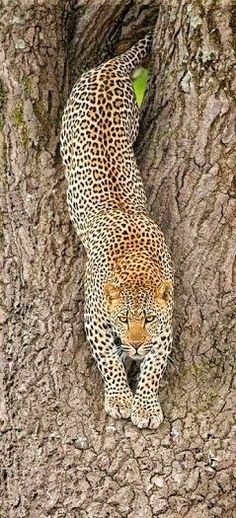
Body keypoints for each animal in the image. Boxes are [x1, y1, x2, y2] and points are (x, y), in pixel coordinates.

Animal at [60, 33, 174, 430]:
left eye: (148, 319)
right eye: (123, 319)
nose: (136, 344)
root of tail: (110, 67)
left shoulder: (166, 326)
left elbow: (154, 368)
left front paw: (147, 406)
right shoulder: (95, 317)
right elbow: (109, 359)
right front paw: (121, 399)